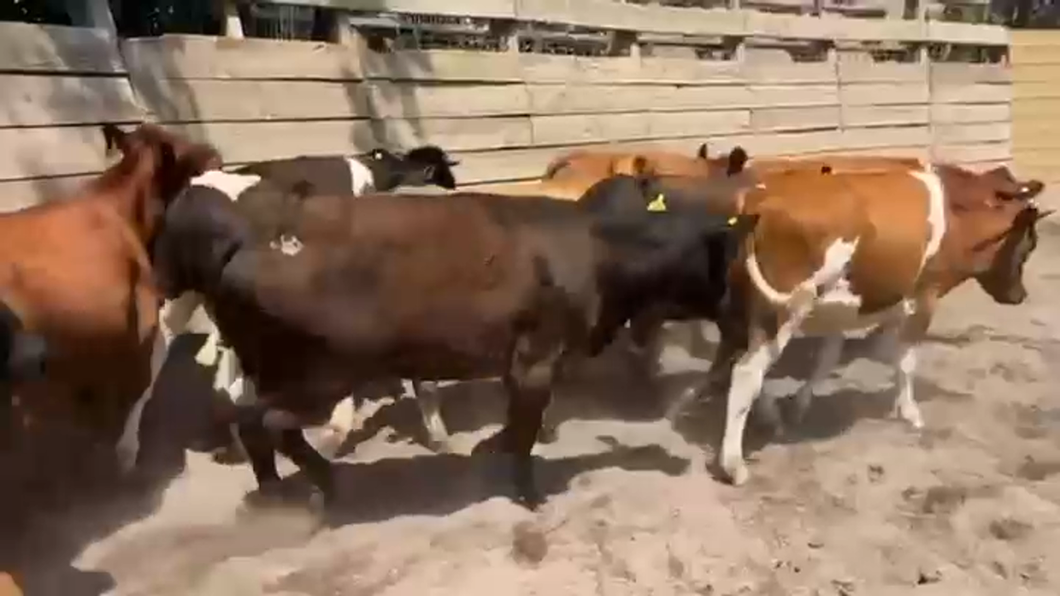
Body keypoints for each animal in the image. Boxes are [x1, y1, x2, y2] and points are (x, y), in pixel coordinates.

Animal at [149, 167, 760, 510]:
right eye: (727, 264)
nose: (746, 321)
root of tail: (249, 235)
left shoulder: (522, 362)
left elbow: (515, 422)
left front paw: (491, 451)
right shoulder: (538, 358)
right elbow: (525, 430)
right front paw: (529, 493)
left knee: (248, 419)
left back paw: (277, 492)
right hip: (319, 374)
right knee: (266, 422)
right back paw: (322, 483)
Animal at [667, 163, 1049, 486]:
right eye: (1029, 244)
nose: (1020, 296)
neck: (960, 212)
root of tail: (756, 199)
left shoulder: (860, 305)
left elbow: (832, 358)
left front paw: (800, 405)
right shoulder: (926, 296)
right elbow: (905, 361)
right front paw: (910, 413)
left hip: (744, 311)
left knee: (735, 363)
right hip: (781, 311)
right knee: (747, 373)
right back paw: (734, 464)